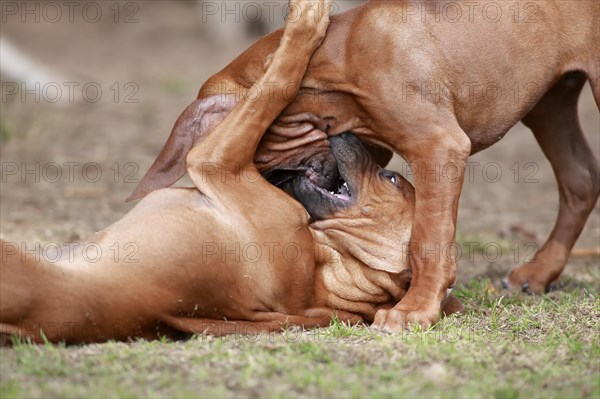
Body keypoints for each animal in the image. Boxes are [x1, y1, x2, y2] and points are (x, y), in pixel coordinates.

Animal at [0, 0, 462, 344]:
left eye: (392, 179)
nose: (355, 136)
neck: (325, 269)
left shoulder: (216, 163)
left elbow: (274, 84)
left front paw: (303, 25)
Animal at [130, 0, 600, 332]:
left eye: (257, 157)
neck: (334, 59)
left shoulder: (440, 146)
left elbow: (428, 236)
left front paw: (417, 309)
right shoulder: (374, 149)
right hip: (549, 104)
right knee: (581, 178)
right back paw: (540, 272)